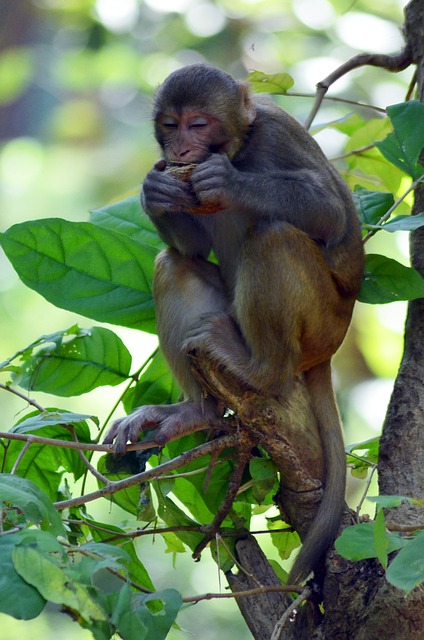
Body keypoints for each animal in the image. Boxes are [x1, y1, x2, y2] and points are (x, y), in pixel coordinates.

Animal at [103, 63, 364, 584]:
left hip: (320, 325)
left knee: (275, 235)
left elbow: (332, 214)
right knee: (173, 263)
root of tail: (330, 350)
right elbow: (191, 248)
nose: (182, 151)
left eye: (198, 124)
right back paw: (196, 411)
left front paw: (228, 183)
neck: (239, 147)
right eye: (170, 125)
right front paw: (155, 193)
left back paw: (263, 372)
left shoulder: (277, 132)